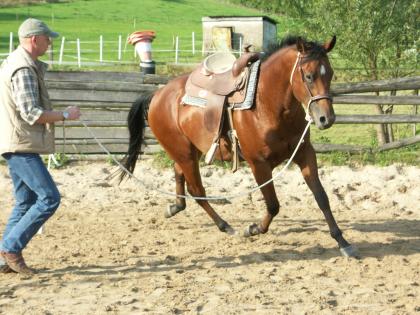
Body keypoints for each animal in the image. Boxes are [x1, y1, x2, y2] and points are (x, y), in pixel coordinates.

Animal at [120, 35, 358, 256]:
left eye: (331, 74)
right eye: (308, 76)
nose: (326, 119)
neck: (266, 104)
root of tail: (157, 94)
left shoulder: (304, 153)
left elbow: (321, 197)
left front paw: (342, 241)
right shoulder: (258, 164)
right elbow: (273, 204)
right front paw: (252, 229)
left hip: (188, 151)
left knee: (179, 175)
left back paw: (175, 207)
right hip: (184, 153)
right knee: (196, 190)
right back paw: (225, 225)